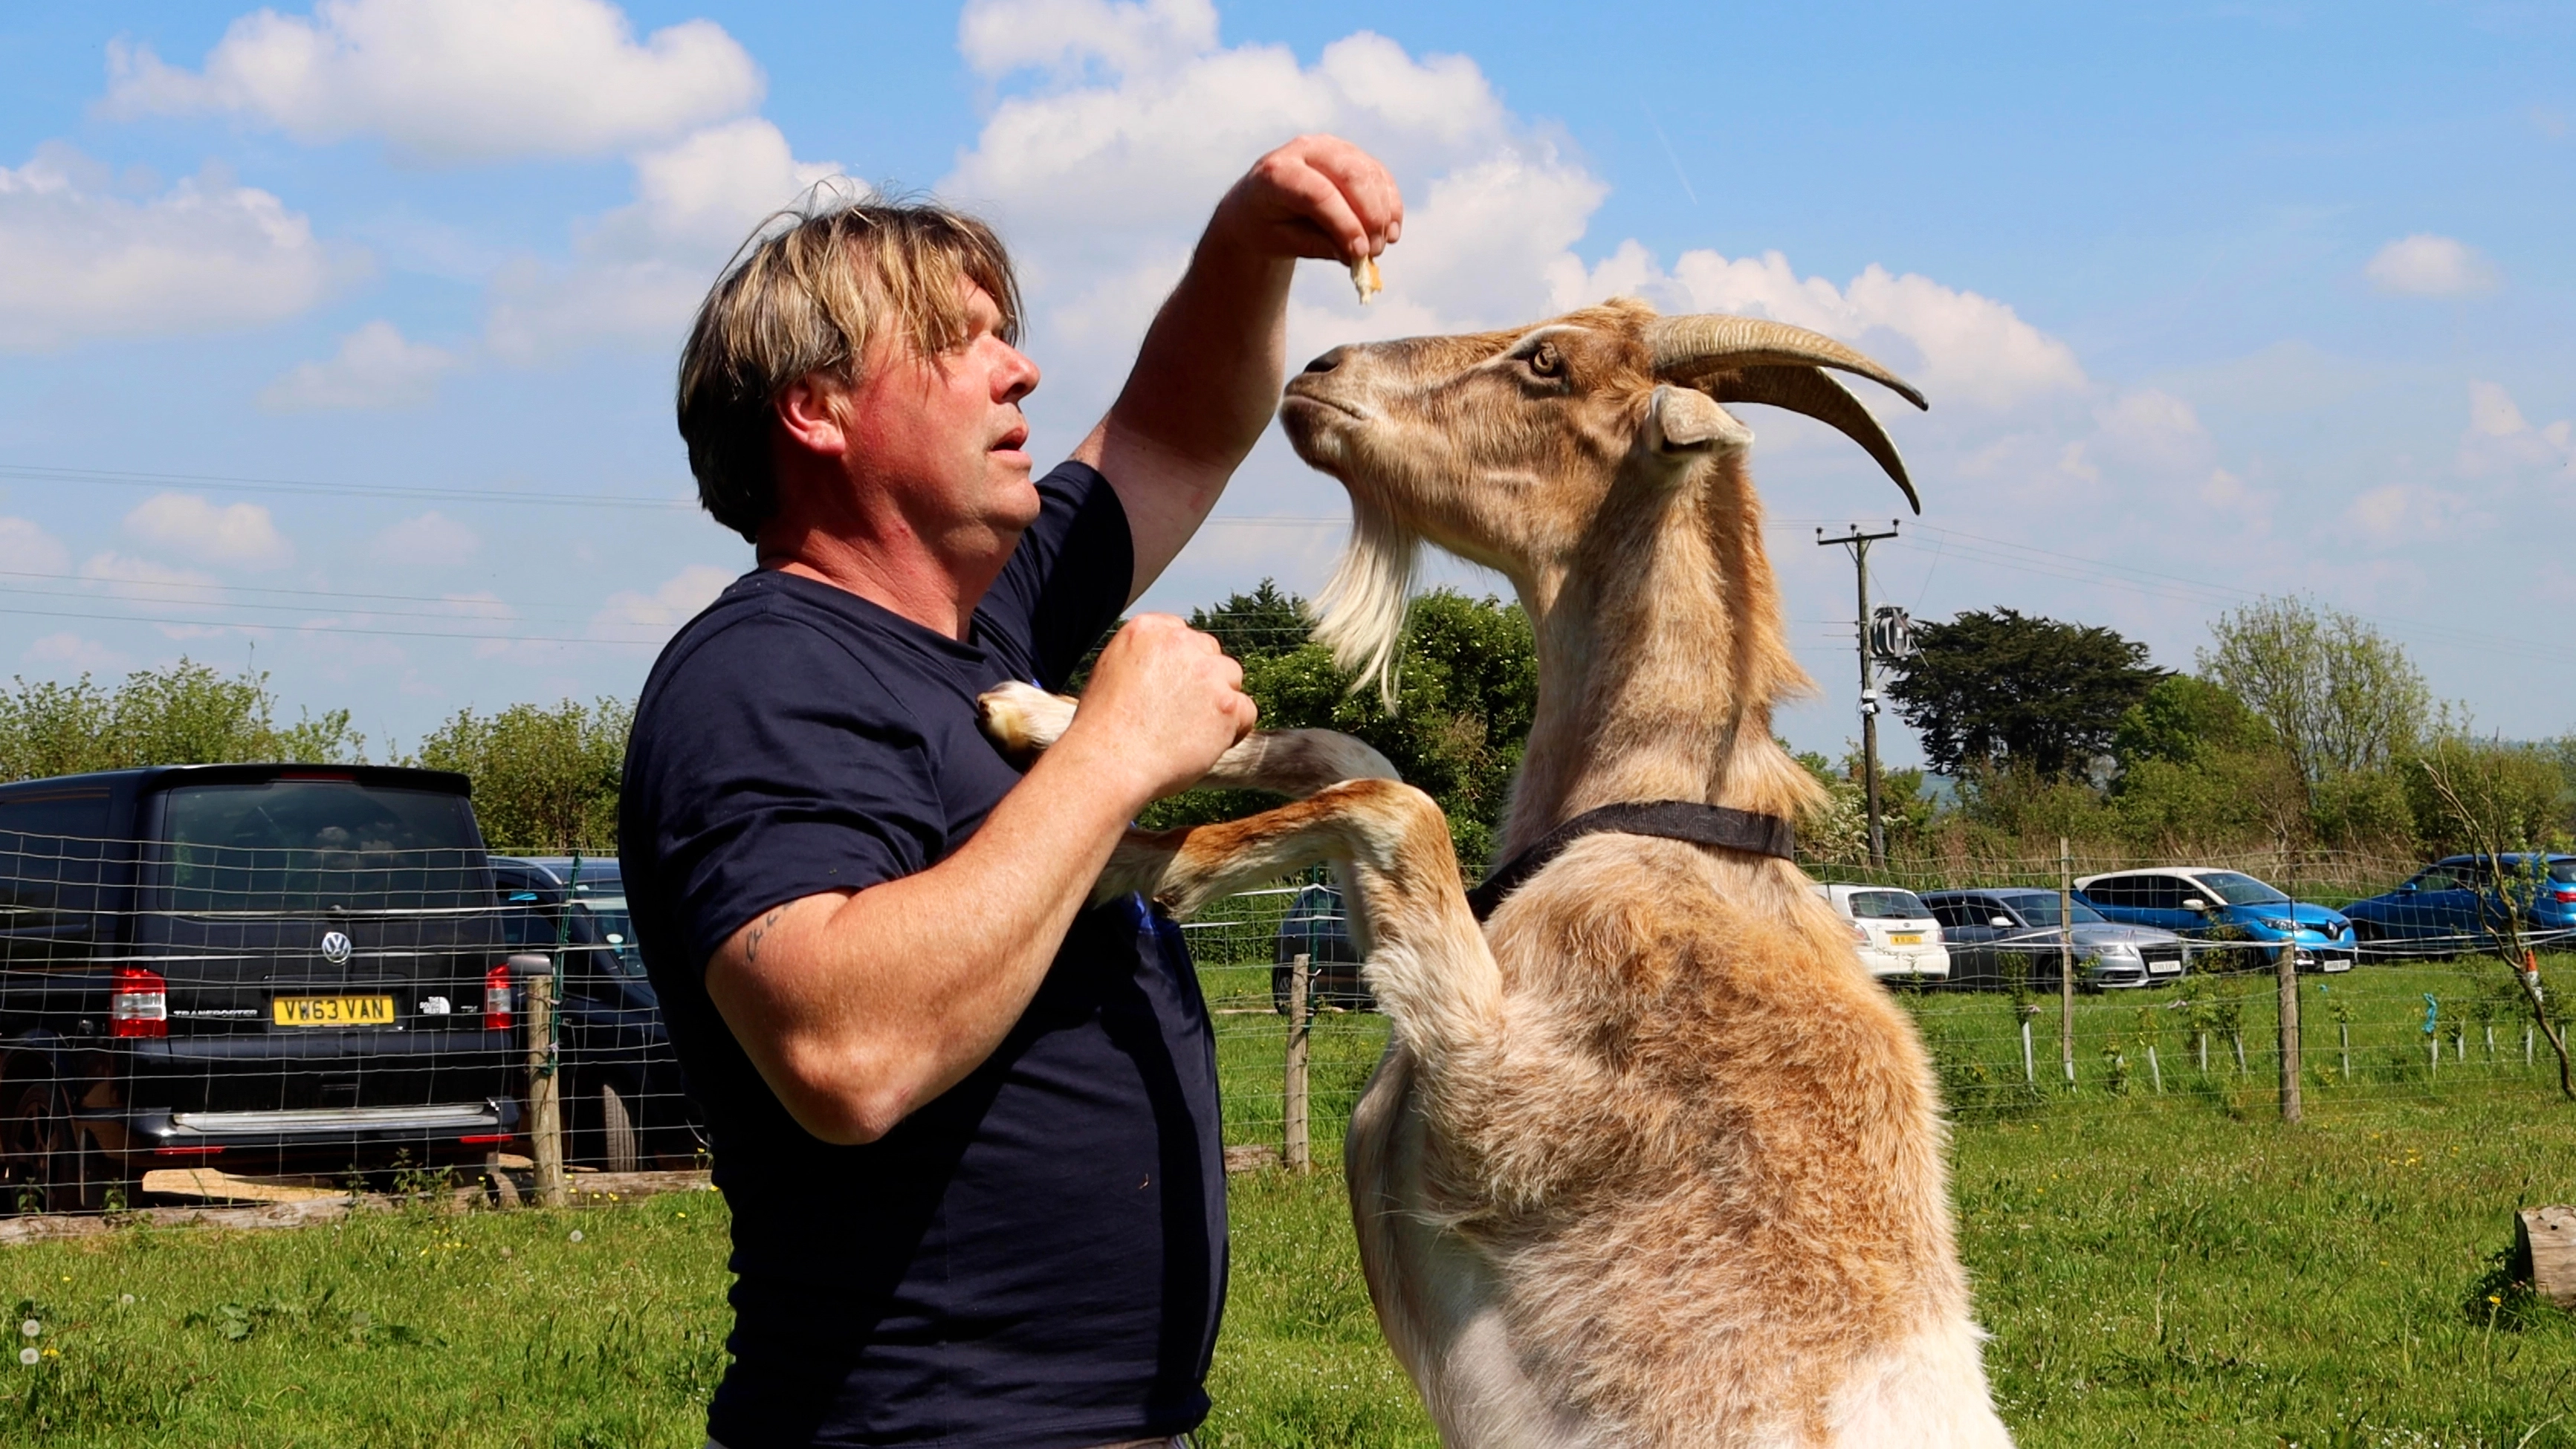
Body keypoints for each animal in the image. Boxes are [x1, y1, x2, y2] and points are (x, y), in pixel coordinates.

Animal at [980, 297, 2014, 1447]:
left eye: (1546, 363)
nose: (1316, 371)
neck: (1667, 821)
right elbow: (1354, 752)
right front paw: (1050, 719)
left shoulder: (1508, 1109)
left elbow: (1399, 805)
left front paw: (1136, 858)